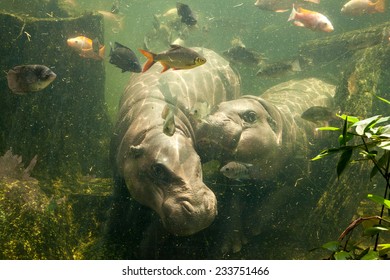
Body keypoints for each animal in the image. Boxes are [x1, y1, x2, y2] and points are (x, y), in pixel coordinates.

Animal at [109, 48, 241, 236]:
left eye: (198, 160)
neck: (155, 128)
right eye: (157, 169)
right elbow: (118, 206)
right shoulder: (118, 175)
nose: (199, 211)